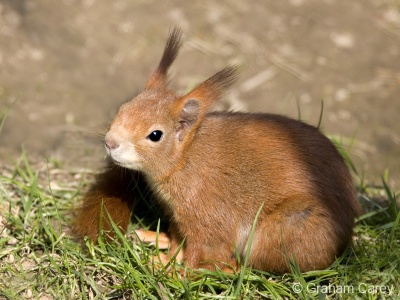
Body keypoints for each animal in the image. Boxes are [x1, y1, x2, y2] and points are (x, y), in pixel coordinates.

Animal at [72, 28, 362, 274]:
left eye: (155, 135)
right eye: (123, 108)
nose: (110, 142)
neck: (185, 160)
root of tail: (344, 239)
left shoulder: (207, 217)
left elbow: (198, 252)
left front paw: (172, 272)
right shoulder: (179, 218)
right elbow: (178, 240)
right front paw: (165, 252)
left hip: (287, 230)